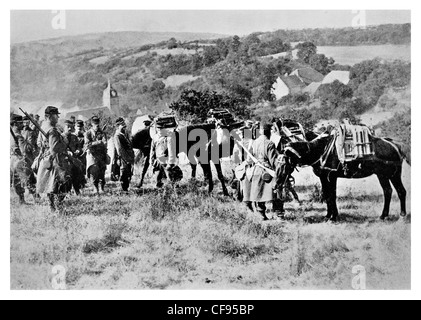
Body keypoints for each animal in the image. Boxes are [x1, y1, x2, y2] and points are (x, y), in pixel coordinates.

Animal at [278, 131, 406, 221]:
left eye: (286, 160)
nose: (279, 178)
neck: (320, 150)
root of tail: (394, 145)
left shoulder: (331, 177)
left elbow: (332, 195)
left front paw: (333, 217)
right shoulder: (323, 178)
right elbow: (327, 195)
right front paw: (328, 215)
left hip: (385, 175)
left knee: (391, 191)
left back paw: (391, 215)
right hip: (391, 175)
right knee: (396, 191)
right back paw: (396, 215)